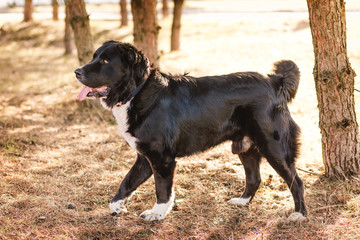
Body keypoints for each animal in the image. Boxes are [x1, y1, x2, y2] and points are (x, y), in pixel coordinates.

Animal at [75, 40, 306, 221]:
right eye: (95, 57)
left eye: (106, 61)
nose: (77, 72)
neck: (136, 92)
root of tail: (274, 82)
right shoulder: (145, 158)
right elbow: (127, 181)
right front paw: (116, 205)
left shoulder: (162, 159)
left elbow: (162, 189)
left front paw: (157, 213)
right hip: (245, 147)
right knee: (254, 178)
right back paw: (242, 202)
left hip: (273, 146)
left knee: (296, 181)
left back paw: (299, 214)